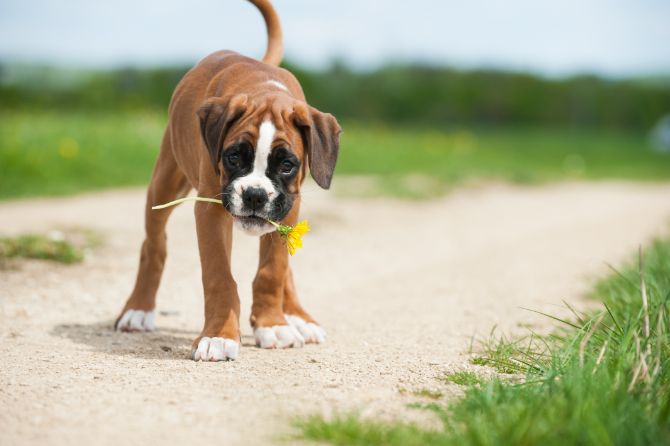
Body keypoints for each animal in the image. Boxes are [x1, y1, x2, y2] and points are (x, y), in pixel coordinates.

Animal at [114, 0, 342, 360]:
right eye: (234, 157)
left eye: (287, 165)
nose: (255, 195)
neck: (263, 88)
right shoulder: (210, 212)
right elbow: (219, 276)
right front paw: (220, 335)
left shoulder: (289, 208)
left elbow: (273, 270)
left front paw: (273, 324)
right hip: (165, 182)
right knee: (154, 245)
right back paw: (138, 309)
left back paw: (298, 317)